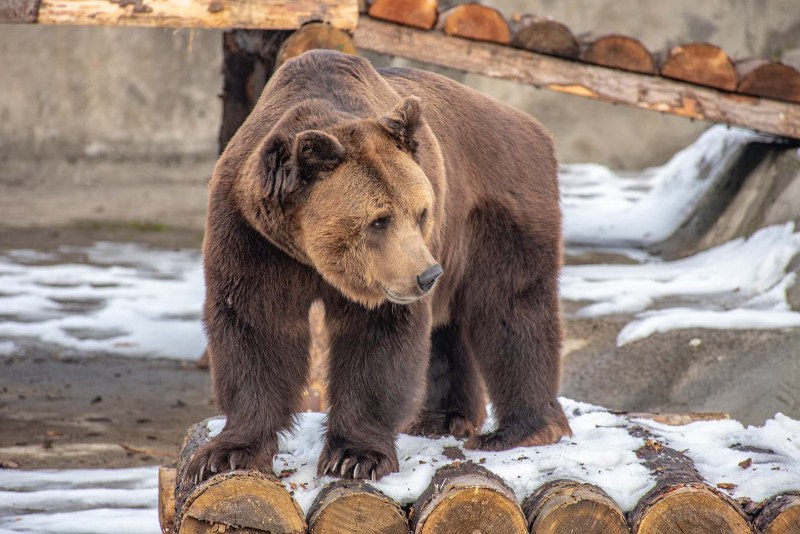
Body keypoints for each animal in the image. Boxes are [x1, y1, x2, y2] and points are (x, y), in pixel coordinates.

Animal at [186, 51, 576, 486]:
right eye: (379, 220)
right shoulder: (252, 236)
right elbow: (256, 327)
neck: (308, 253)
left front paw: (355, 456)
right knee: (450, 326)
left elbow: (378, 341)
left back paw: (520, 430)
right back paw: (442, 417)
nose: (427, 275)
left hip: (494, 209)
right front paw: (226, 453)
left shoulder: (385, 276)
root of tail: (535, 127)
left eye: (421, 212)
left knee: (511, 307)